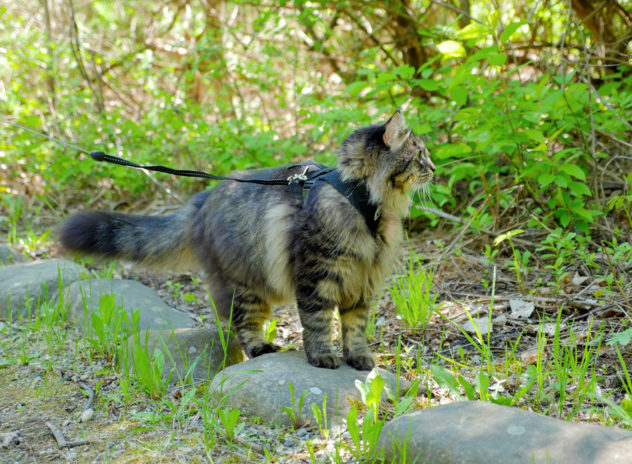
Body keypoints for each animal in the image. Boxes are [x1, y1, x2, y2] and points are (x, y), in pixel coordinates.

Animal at [59, 110, 434, 372]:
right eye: (419, 155)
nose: (434, 168)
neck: (364, 202)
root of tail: (202, 199)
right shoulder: (317, 276)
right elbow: (318, 323)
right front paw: (322, 357)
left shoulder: (361, 282)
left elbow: (354, 329)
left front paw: (359, 358)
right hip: (244, 285)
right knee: (243, 324)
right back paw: (260, 349)